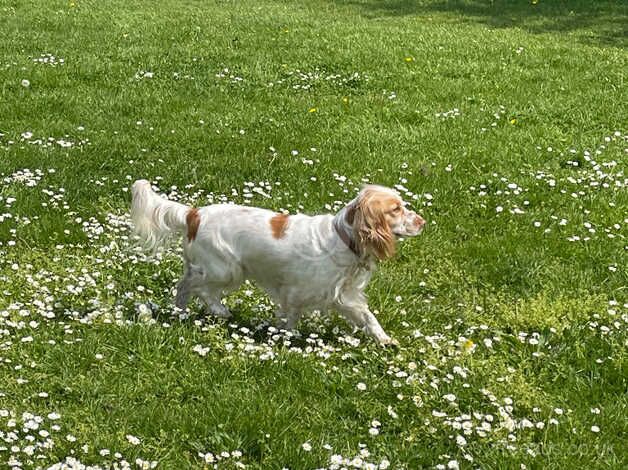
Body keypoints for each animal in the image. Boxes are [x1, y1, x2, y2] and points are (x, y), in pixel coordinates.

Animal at [132, 178, 426, 344]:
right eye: (396, 209)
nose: (423, 222)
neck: (344, 238)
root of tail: (194, 214)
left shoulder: (344, 296)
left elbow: (368, 317)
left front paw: (385, 340)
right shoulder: (296, 291)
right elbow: (291, 317)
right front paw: (285, 338)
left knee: (185, 286)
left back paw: (180, 312)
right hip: (227, 270)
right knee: (198, 288)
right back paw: (219, 311)